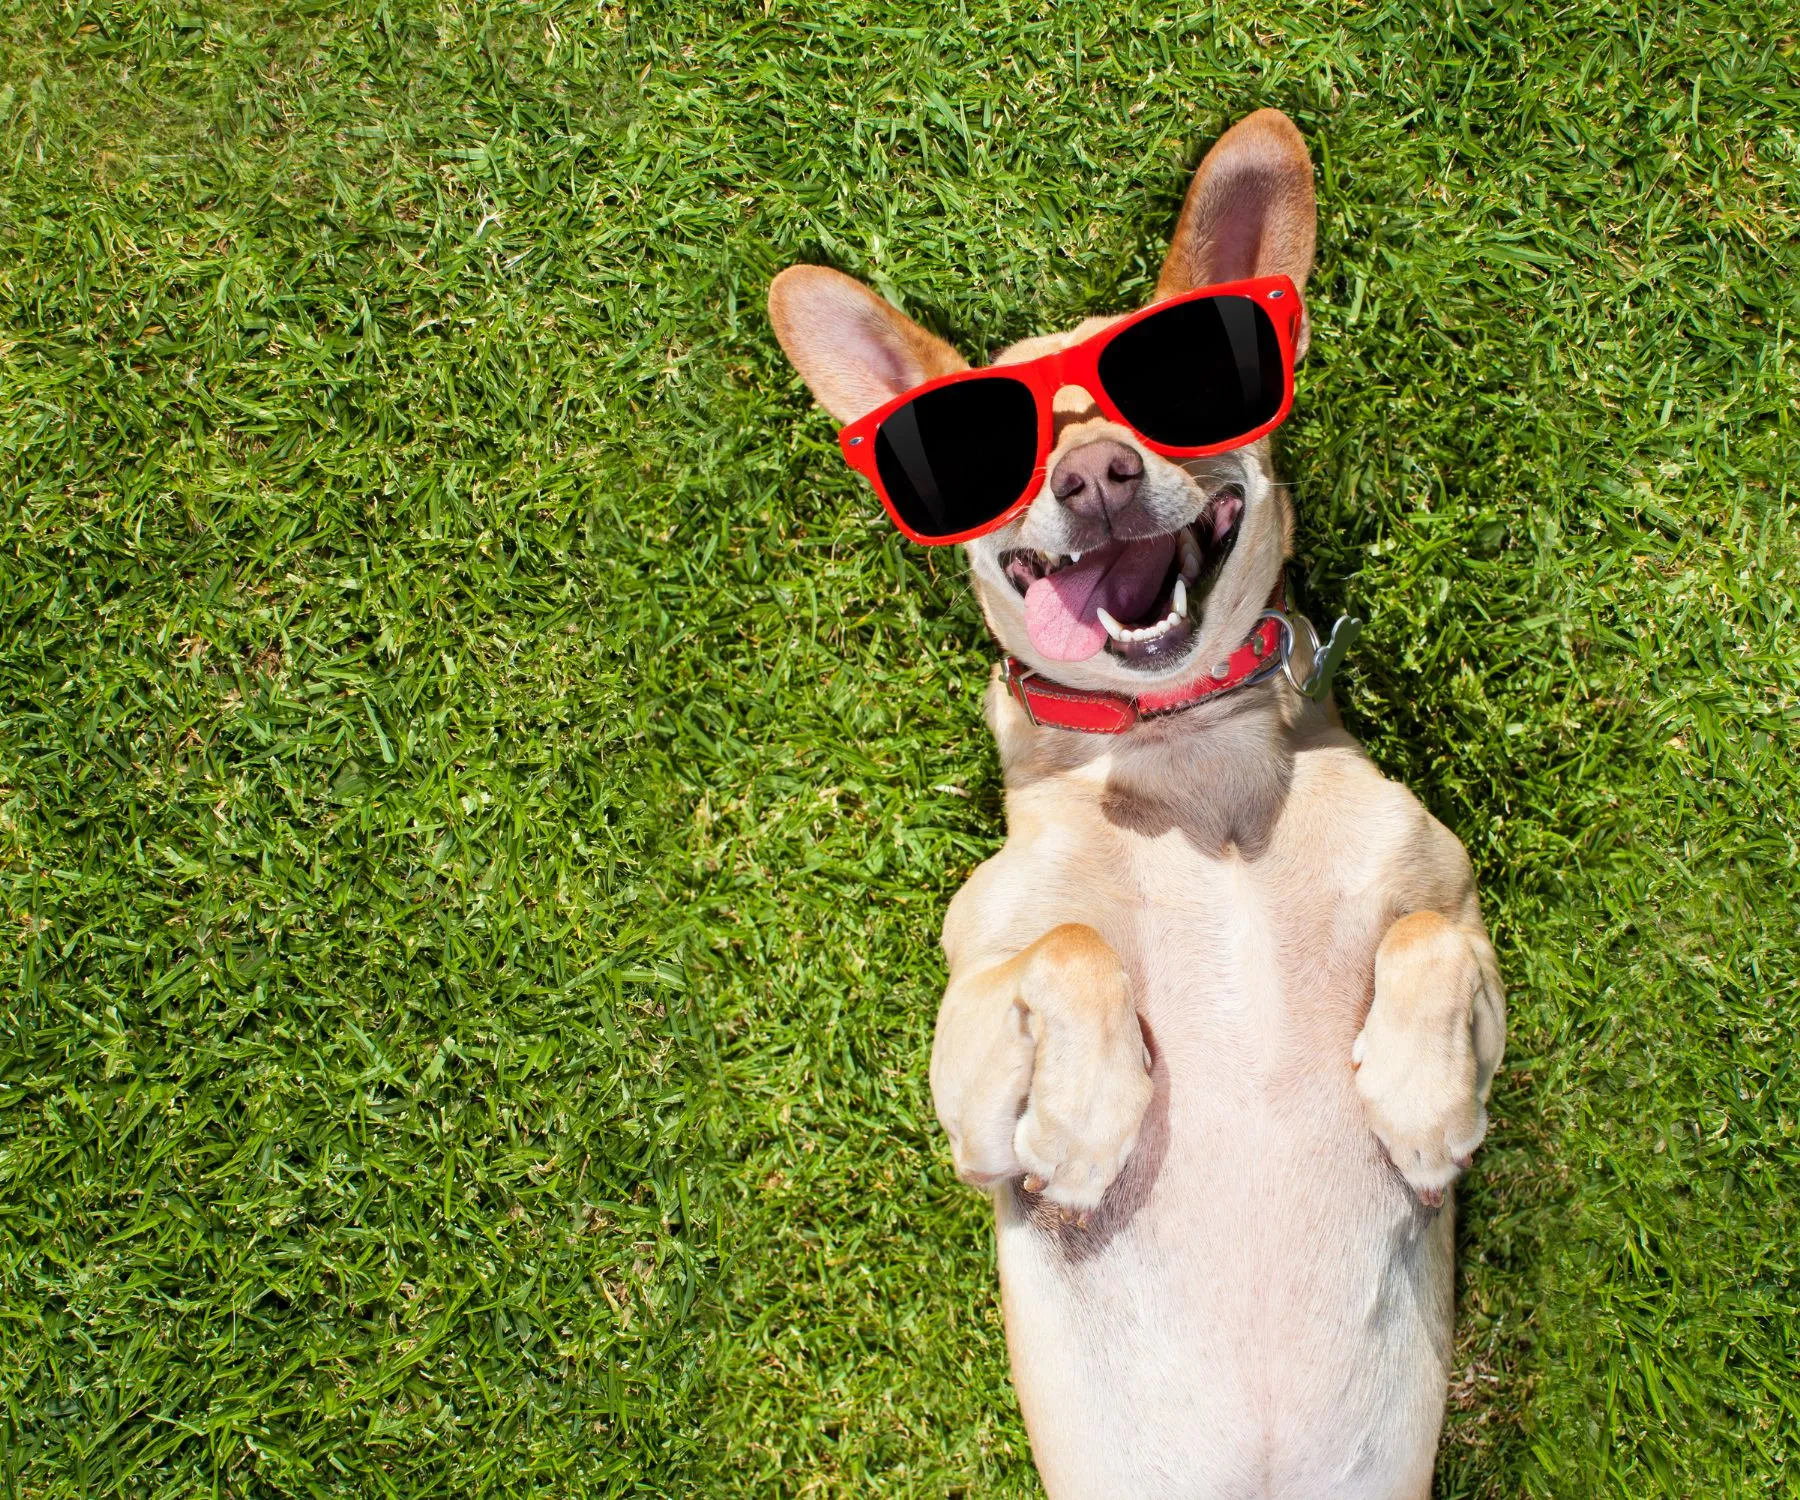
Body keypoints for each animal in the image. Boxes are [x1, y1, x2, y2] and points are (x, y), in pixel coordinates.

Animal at [763, 111, 1504, 1490]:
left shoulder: (1458, 911)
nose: (1101, 476)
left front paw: (1424, 1106)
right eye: (997, 453)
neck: (1186, 759)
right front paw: (1088, 1120)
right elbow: (1069, 946)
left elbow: (1429, 937)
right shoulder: (968, 1085)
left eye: (1163, 396)